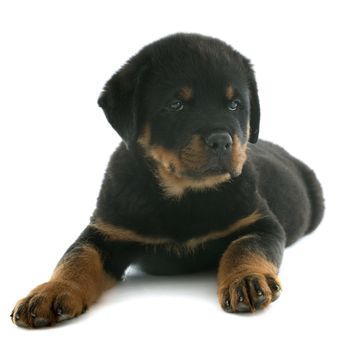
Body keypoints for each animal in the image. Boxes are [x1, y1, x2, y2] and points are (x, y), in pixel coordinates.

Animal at [10, 33, 324, 328]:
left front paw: (246, 280)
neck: (184, 196)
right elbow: (76, 259)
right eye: (176, 105)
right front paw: (50, 292)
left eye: (235, 105)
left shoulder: (261, 223)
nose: (222, 141)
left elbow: (244, 248)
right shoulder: (105, 232)